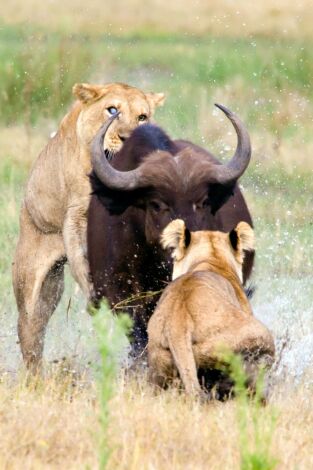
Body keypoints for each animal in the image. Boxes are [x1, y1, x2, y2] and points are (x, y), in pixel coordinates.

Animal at [12, 81, 165, 370]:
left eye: (142, 117)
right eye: (112, 110)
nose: (128, 138)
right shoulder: (76, 215)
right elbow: (84, 257)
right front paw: (96, 295)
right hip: (32, 289)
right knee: (31, 333)